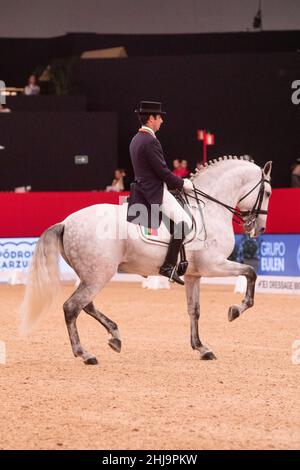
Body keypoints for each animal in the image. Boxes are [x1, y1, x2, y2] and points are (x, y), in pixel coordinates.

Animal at [19, 158, 272, 364]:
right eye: (268, 193)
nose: (259, 229)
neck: (208, 209)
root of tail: (66, 222)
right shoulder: (214, 265)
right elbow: (250, 272)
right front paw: (236, 310)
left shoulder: (194, 274)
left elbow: (194, 310)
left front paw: (201, 348)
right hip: (99, 275)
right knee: (72, 307)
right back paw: (85, 353)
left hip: (90, 275)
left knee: (86, 305)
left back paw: (114, 336)